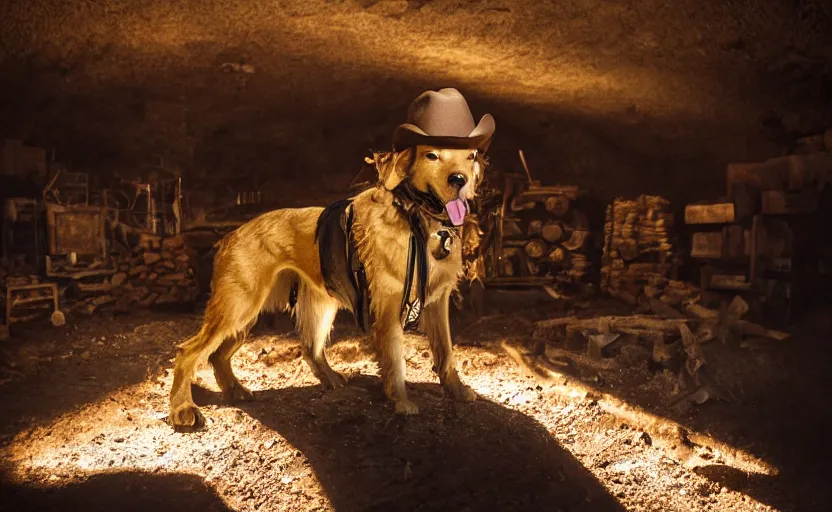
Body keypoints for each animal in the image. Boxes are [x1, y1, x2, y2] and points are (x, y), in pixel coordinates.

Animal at [169, 88, 494, 428]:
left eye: (470, 156)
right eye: (432, 155)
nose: (460, 180)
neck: (417, 220)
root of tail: (230, 235)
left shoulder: (437, 301)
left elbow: (446, 352)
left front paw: (456, 391)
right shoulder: (388, 306)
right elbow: (395, 359)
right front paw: (402, 402)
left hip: (288, 308)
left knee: (293, 350)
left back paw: (255, 388)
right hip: (238, 307)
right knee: (188, 351)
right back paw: (183, 409)